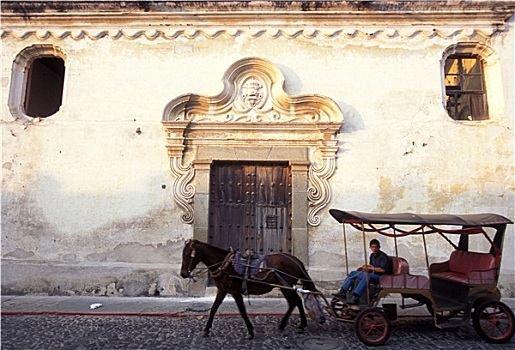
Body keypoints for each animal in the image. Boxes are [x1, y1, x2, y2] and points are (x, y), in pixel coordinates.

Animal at [180, 239, 318, 340]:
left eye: (187, 255)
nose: (183, 274)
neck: (225, 264)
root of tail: (296, 260)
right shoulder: (222, 290)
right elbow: (213, 309)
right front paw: (206, 329)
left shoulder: (235, 292)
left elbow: (242, 311)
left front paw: (250, 331)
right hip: (284, 287)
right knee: (294, 302)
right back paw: (286, 324)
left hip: (287, 286)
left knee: (296, 301)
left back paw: (301, 325)